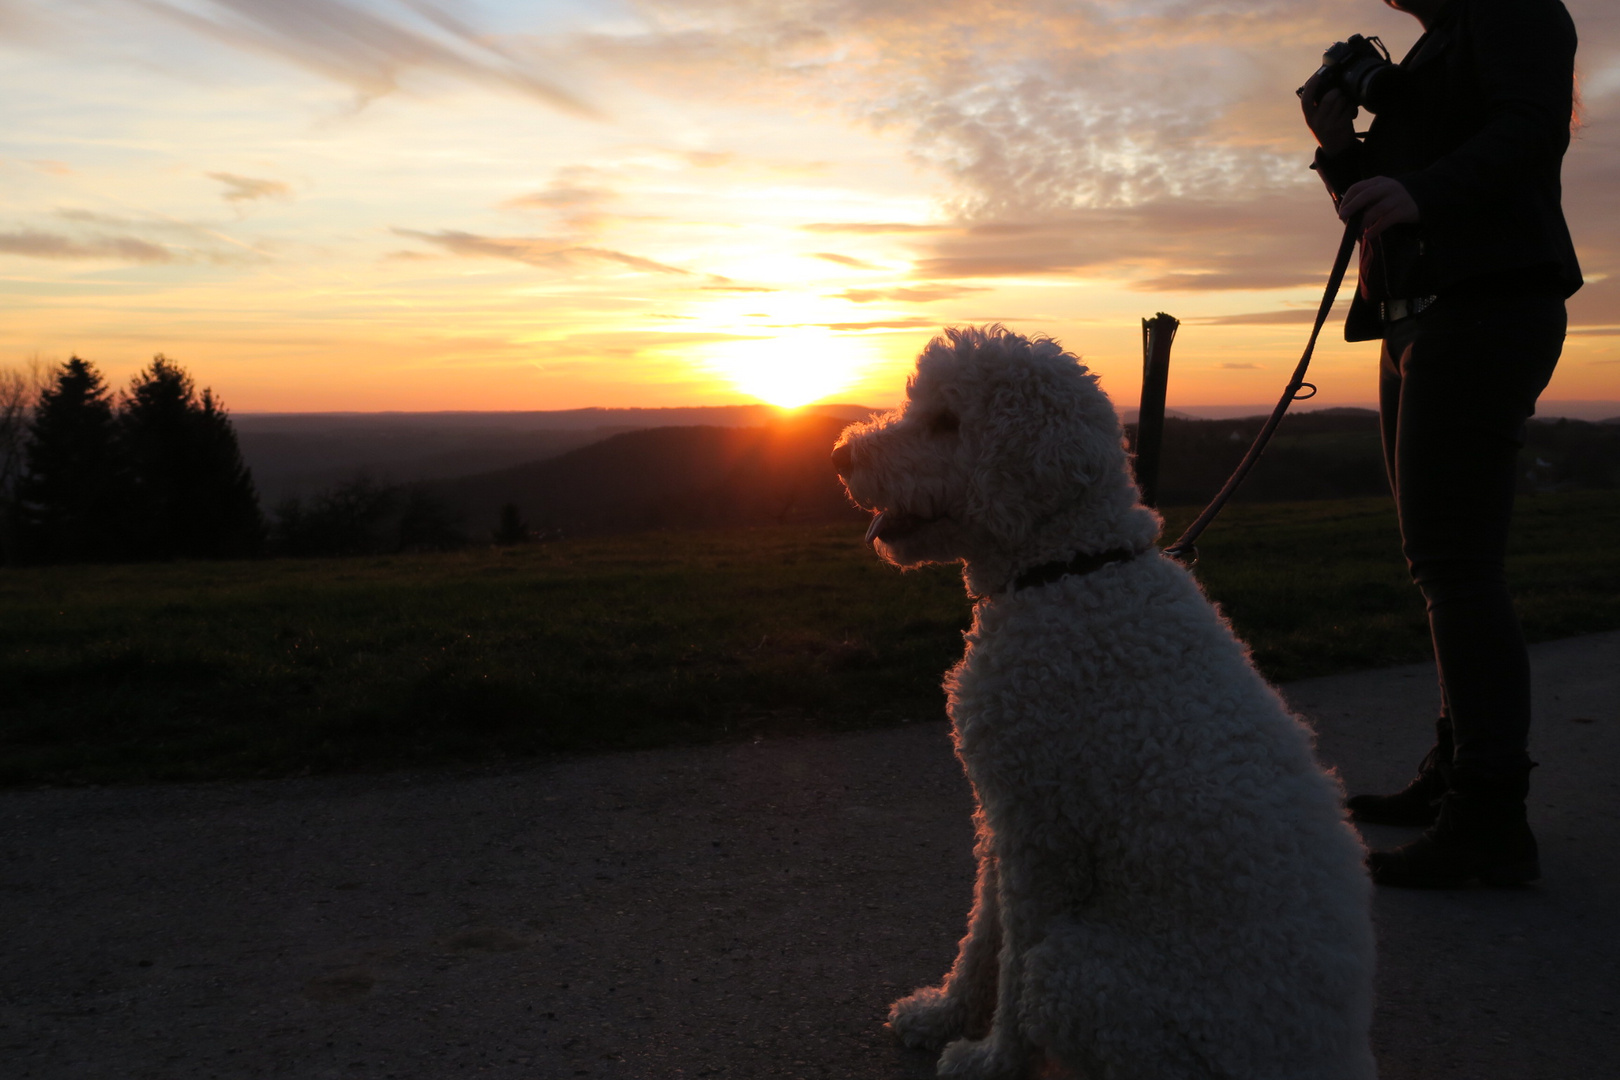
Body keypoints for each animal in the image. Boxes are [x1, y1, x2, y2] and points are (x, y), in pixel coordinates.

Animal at [835, 327, 1380, 1080]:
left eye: (947, 422)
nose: (839, 458)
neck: (1069, 569)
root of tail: (1339, 1059)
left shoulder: (1044, 833)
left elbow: (1011, 962)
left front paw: (992, 1059)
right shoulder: (1004, 817)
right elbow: (982, 935)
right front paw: (940, 1015)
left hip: (1083, 975)